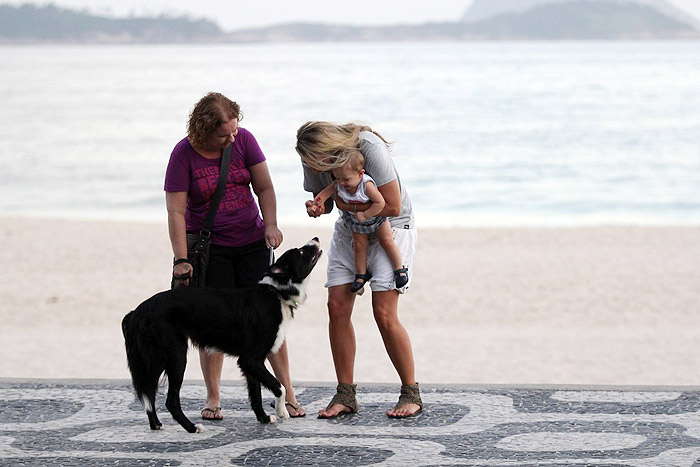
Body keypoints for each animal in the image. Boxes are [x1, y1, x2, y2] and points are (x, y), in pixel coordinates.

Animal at [121, 239, 322, 434]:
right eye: (301, 252)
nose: (316, 239)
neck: (277, 292)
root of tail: (137, 311)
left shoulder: (250, 364)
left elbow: (256, 394)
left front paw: (264, 418)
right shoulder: (251, 359)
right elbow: (279, 386)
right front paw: (282, 411)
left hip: (153, 361)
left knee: (149, 393)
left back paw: (156, 424)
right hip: (176, 355)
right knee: (170, 400)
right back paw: (192, 428)